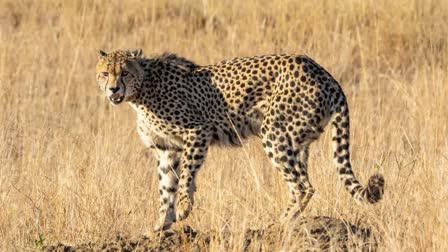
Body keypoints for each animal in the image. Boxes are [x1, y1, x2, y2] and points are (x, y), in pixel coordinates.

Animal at [96, 48, 384, 230]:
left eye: (124, 73)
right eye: (105, 73)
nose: (113, 89)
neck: (142, 89)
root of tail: (324, 73)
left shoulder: (197, 131)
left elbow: (186, 174)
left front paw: (184, 207)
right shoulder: (166, 148)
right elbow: (166, 187)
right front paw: (161, 224)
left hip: (274, 132)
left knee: (304, 186)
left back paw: (279, 223)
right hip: (298, 140)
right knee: (301, 183)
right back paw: (289, 221)